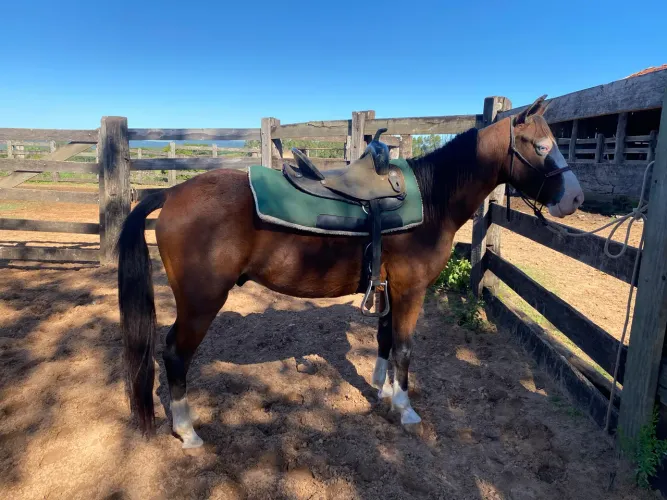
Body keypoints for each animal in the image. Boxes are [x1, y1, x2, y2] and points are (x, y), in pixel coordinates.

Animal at [116, 95, 584, 448]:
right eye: (541, 147)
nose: (576, 198)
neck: (431, 199)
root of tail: (172, 192)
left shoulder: (390, 287)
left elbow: (385, 339)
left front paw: (383, 390)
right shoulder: (412, 289)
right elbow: (404, 348)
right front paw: (405, 409)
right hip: (201, 302)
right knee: (175, 354)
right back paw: (187, 431)